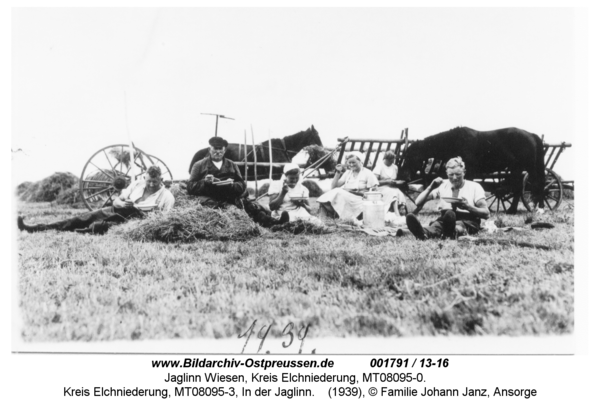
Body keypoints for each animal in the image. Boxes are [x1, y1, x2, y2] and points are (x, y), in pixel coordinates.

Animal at [400, 127, 548, 215]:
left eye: (410, 155)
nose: (405, 176)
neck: (456, 141)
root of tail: (531, 135)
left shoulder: (468, 171)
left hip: (528, 167)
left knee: (538, 185)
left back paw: (538, 208)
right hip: (517, 169)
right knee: (518, 188)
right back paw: (513, 210)